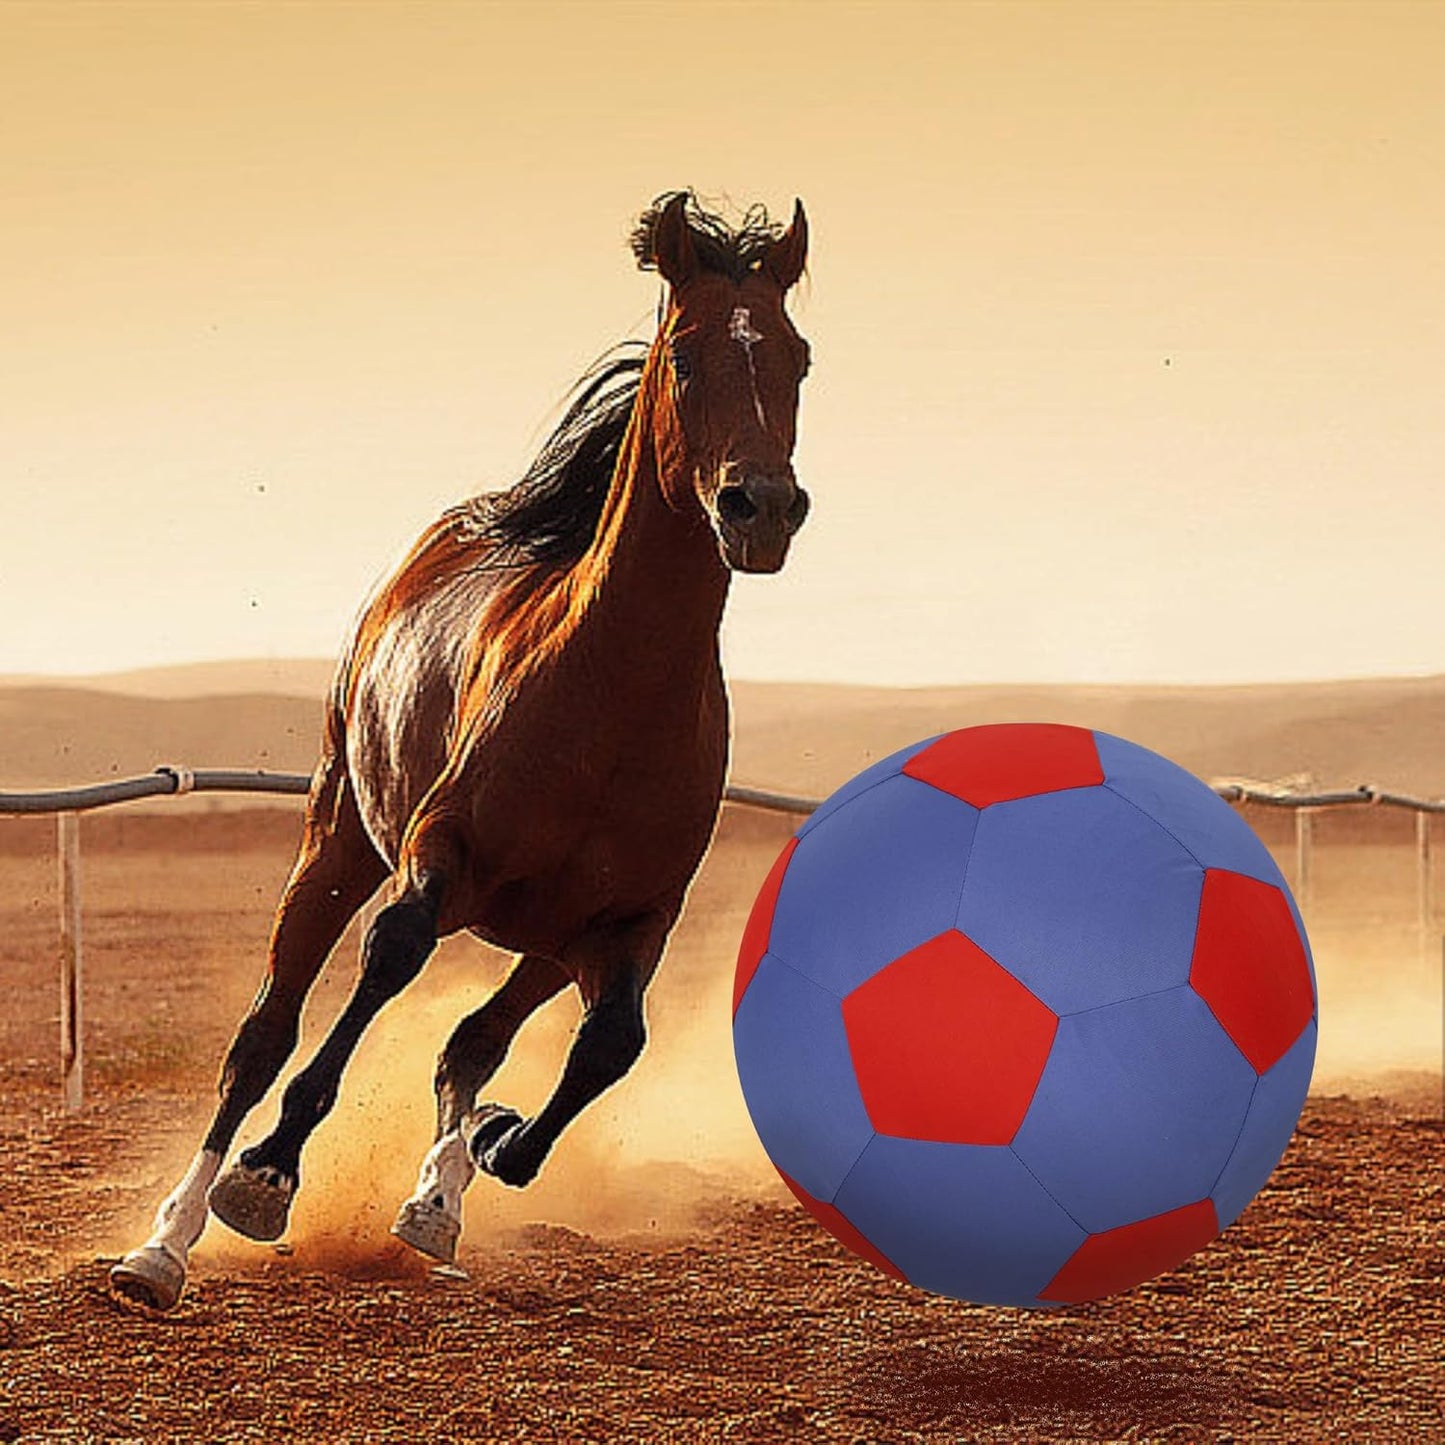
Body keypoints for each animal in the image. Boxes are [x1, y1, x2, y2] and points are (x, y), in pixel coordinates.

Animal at [110, 191, 812, 1311]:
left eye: (798, 355)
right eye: (687, 354)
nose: (761, 508)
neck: (611, 697)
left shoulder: (626, 922)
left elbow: (602, 1046)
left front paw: (486, 1148)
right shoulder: (437, 859)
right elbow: (385, 963)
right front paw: (267, 1176)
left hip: (539, 934)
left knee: (471, 1041)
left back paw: (438, 1193)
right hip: (338, 837)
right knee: (263, 1035)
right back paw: (163, 1244)